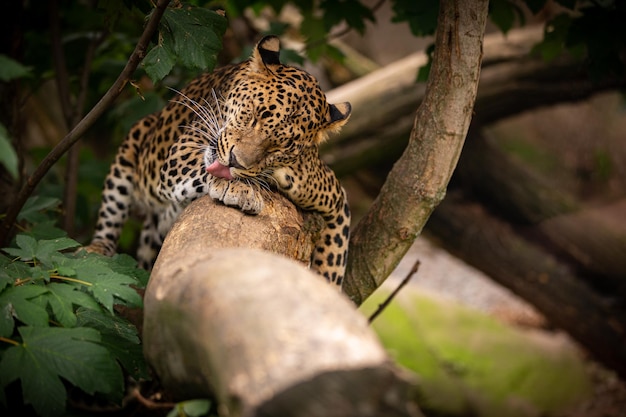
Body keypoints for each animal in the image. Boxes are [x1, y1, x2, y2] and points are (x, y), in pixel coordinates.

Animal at [84, 35, 352, 286]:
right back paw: (97, 250)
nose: (235, 161)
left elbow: (332, 262)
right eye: (255, 115)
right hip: (136, 137)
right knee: (111, 212)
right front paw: (240, 188)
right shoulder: (181, 151)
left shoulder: (335, 200)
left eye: (280, 147)